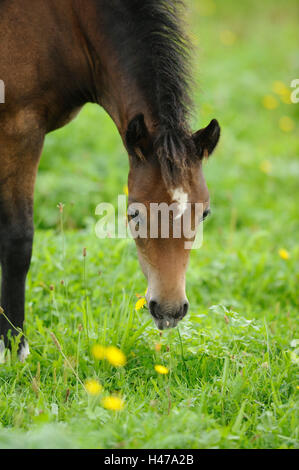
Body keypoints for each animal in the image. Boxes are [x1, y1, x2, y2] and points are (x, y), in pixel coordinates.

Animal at [0, 0, 220, 356]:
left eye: (204, 214)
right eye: (134, 214)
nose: (169, 310)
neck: (72, 25)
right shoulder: (18, 129)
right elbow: (18, 240)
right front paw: (14, 350)